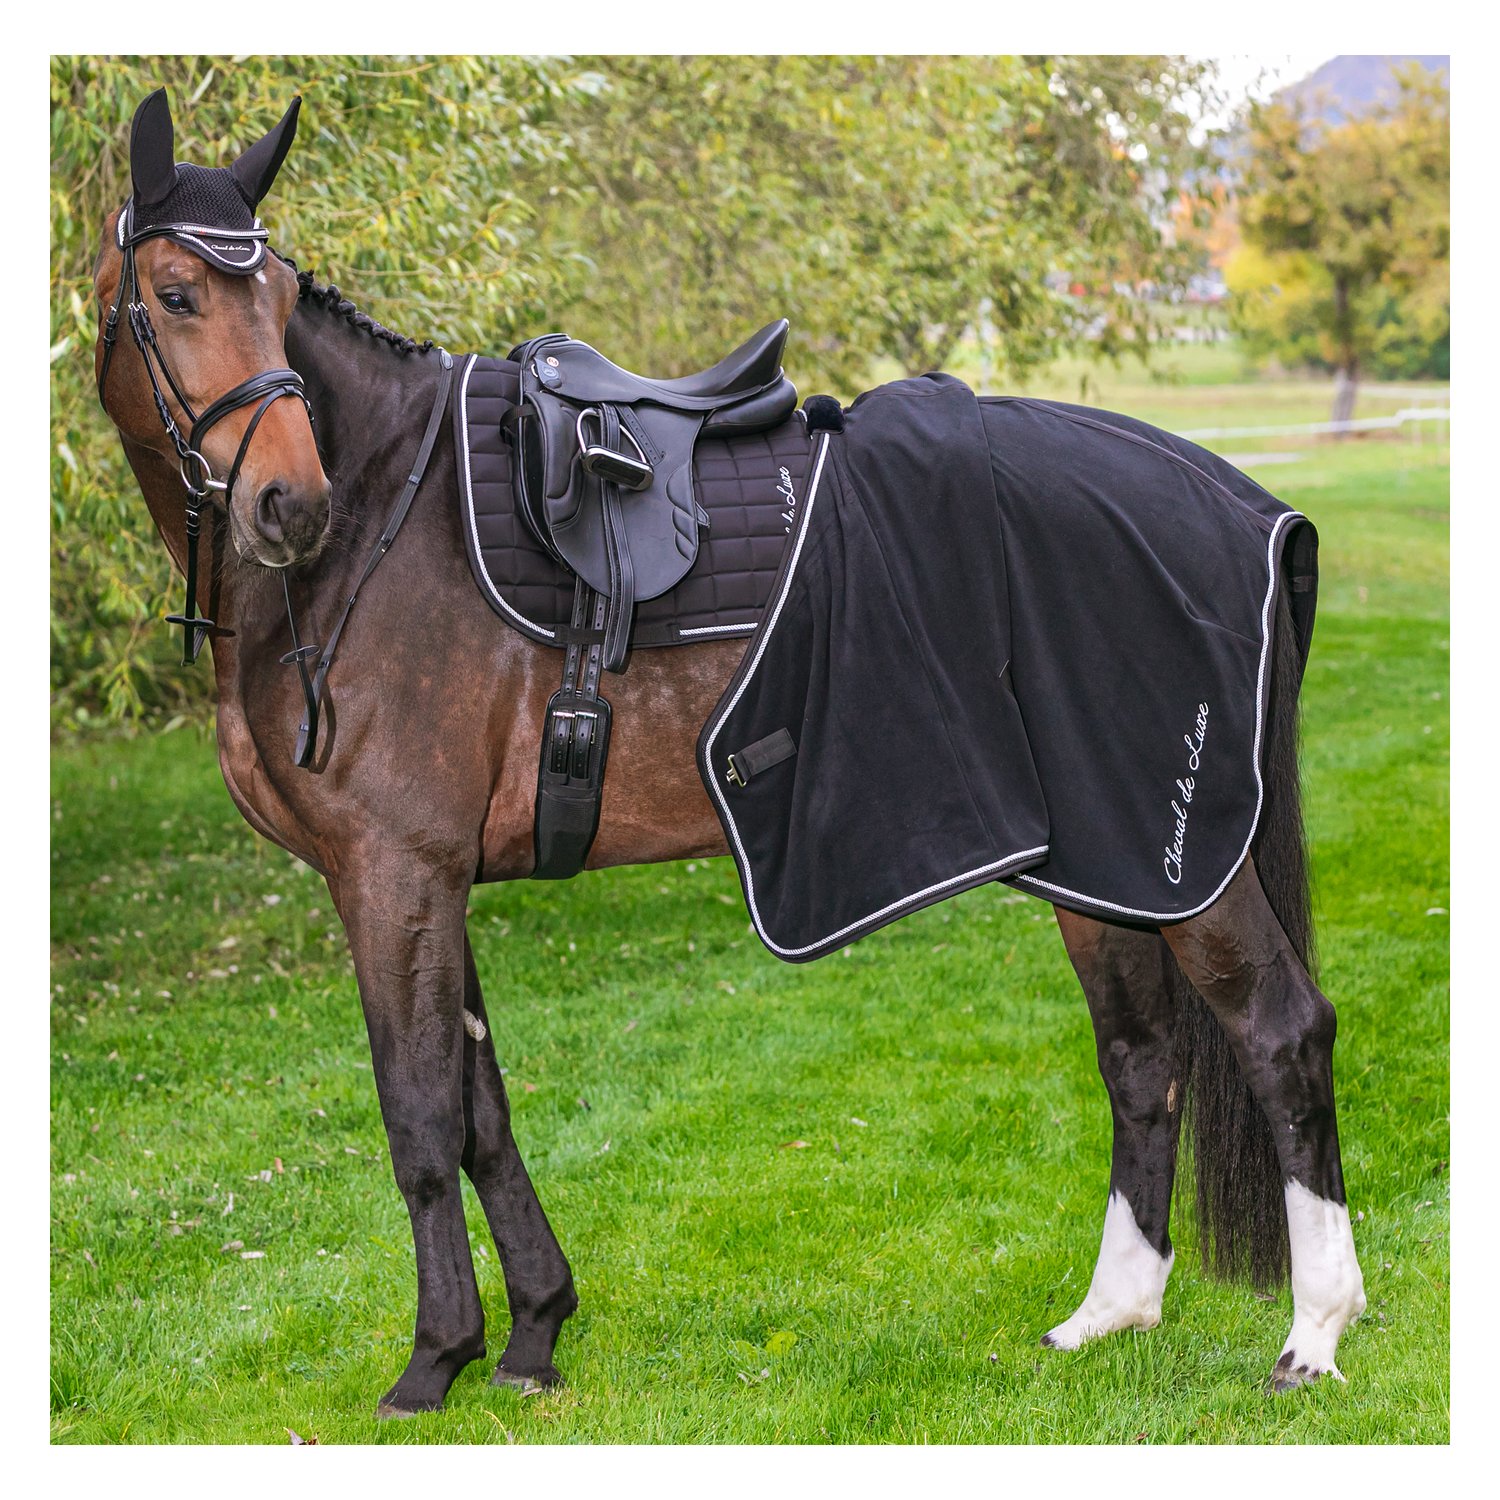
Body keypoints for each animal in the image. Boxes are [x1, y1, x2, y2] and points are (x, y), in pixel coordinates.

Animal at [88, 88, 1366, 1418]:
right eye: (176, 292)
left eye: (278, 292)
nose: (290, 503)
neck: (387, 517)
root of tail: (1246, 505)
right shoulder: (430, 879)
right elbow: (484, 1110)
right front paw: (533, 1335)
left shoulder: (393, 872)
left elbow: (423, 1118)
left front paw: (434, 1361)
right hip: (1100, 868)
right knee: (1140, 1058)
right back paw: (1108, 1316)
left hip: (1179, 864)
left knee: (1282, 1032)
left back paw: (1314, 1336)